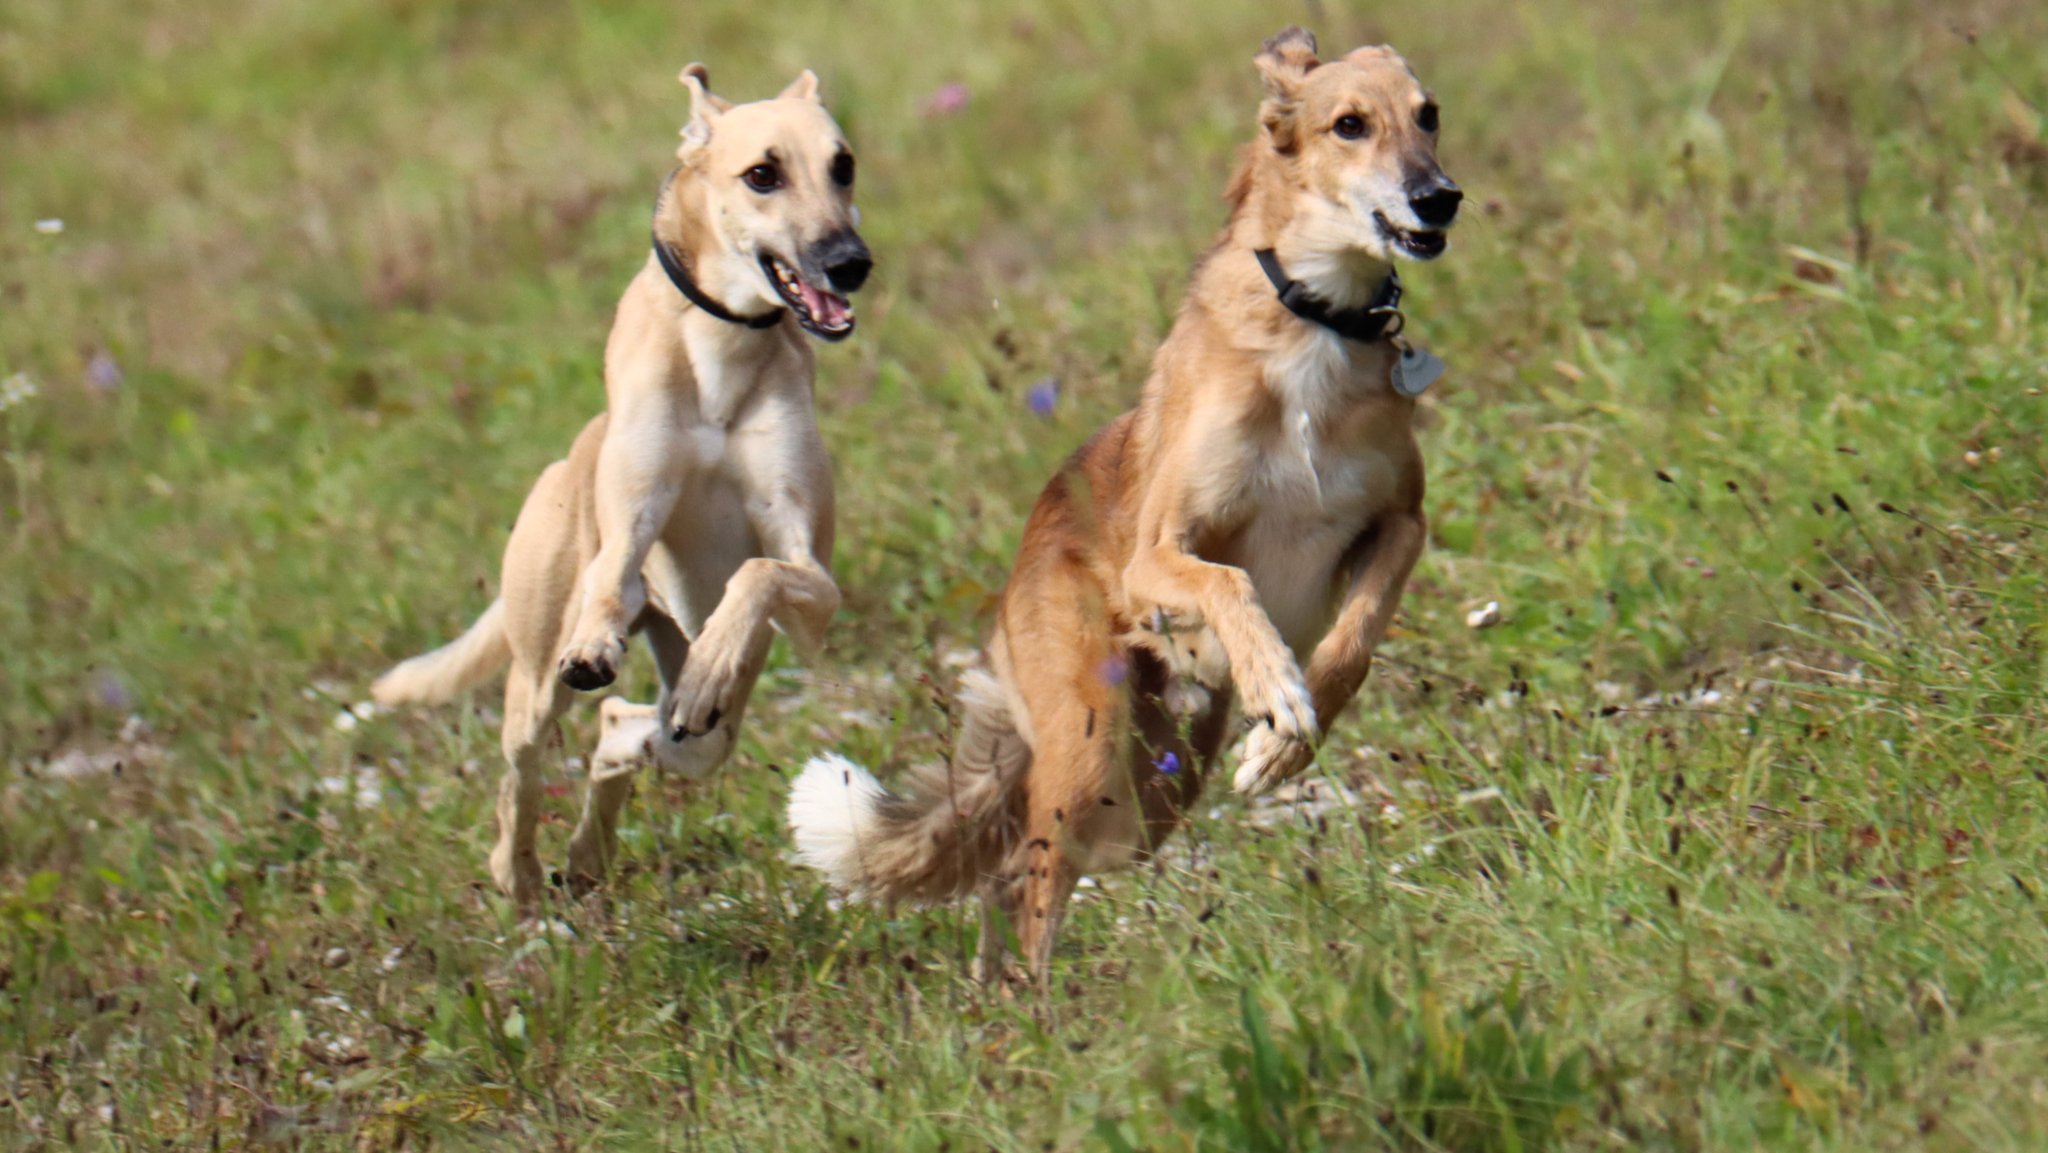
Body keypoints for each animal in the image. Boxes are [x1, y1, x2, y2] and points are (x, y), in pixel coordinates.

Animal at [376, 63, 872, 905]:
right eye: (762, 174)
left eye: (843, 166)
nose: (849, 262)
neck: (721, 346)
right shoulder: (632, 516)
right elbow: (613, 573)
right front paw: (597, 635)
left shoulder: (813, 584)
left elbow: (761, 569)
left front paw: (711, 660)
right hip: (534, 668)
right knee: (524, 762)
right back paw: (517, 869)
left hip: (703, 733)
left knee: (630, 729)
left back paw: (591, 843)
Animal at [790, 27, 1466, 983]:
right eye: (1349, 124)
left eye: (1428, 114)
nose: (1438, 197)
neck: (1314, 325)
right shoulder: (1160, 551)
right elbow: (1229, 582)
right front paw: (1277, 686)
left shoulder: (1398, 522)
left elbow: (1353, 642)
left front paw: (1287, 738)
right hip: (1089, 745)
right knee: (1027, 876)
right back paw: (1029, 1006)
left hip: (1162, 778)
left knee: (1012, 873)